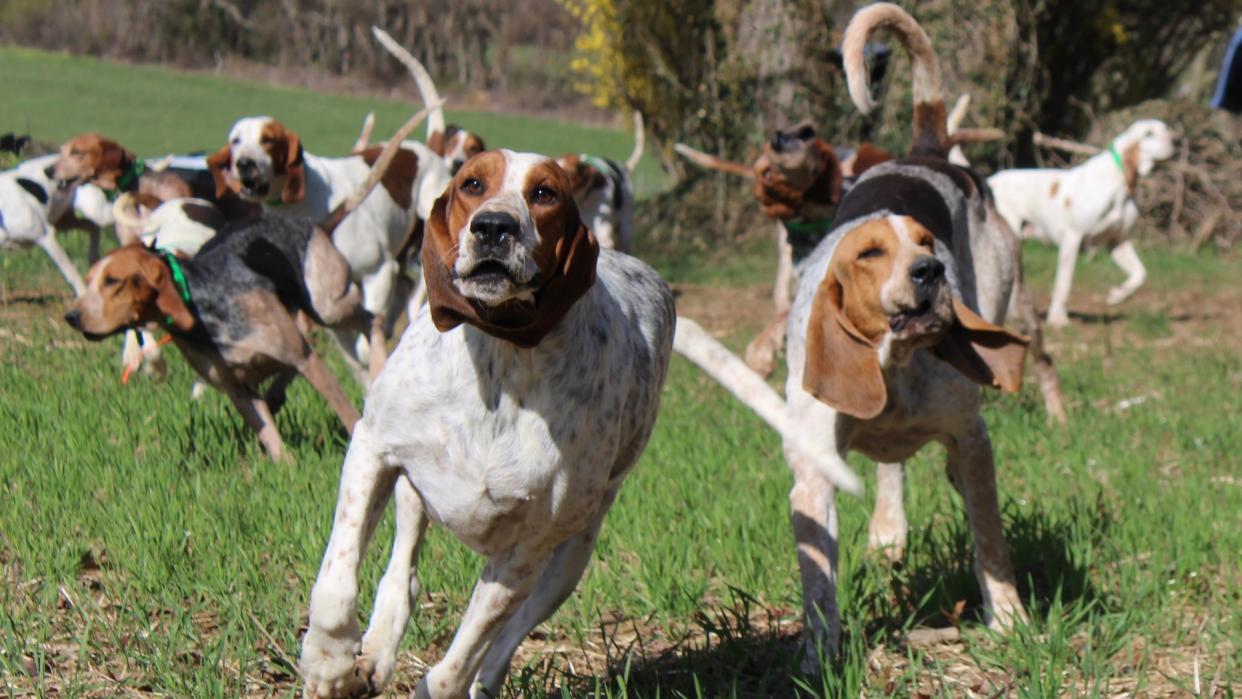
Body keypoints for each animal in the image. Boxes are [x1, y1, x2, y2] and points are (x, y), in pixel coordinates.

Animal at [206, 113, 454, 382]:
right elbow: (353, 358)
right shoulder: (328, 304)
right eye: (235, 141)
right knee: (404, 288)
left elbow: (365, 343)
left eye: (268, 140)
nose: (243, 163)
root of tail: (427, 149)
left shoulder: (378, 272)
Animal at [775, 1, 1028, 665]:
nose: (931, 271)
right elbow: (818, 585)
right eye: (869, 253)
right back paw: (889, 531)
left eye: (924, 240)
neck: (894, 364)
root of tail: (928, 149)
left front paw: (1010, 619)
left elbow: (991, 542)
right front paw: (818, 660)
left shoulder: (971, 439)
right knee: (892, 472)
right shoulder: (812, 479)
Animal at [988, 119, 1172, 325]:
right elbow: (1064, 282)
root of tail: (988, 181)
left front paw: (1117, 295)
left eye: (1166, 128)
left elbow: (1140, 275)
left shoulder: (1117, 241)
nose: (1178, 140)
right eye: (1149, 133)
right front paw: (1057, 318)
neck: (1118, 183)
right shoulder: (1072, 239)